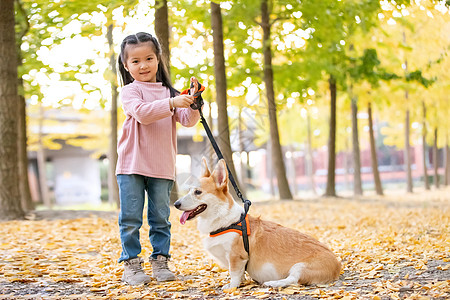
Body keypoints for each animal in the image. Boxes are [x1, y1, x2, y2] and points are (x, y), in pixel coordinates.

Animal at [176, 158, 342, 290]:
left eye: (197, 192)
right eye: (189, 190)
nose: (176, 204)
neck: (225, 221)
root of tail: (338, 265)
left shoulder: (236, 256)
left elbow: (234, 273)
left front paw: (231, 287)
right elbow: (239, 274)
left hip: (300, 267)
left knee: (293, 280)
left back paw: (273, 283)